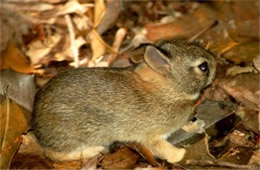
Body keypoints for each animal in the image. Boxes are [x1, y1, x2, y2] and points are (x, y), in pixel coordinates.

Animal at [31, 39, 216, 163]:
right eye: (203, 67)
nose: (215, 61)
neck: (169, 91)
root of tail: (37, 124)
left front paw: (197, 125)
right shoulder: (150, 136)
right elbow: (166, 152)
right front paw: (183, 155)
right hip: (74, 135)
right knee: (54, 154)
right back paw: (97, 150)